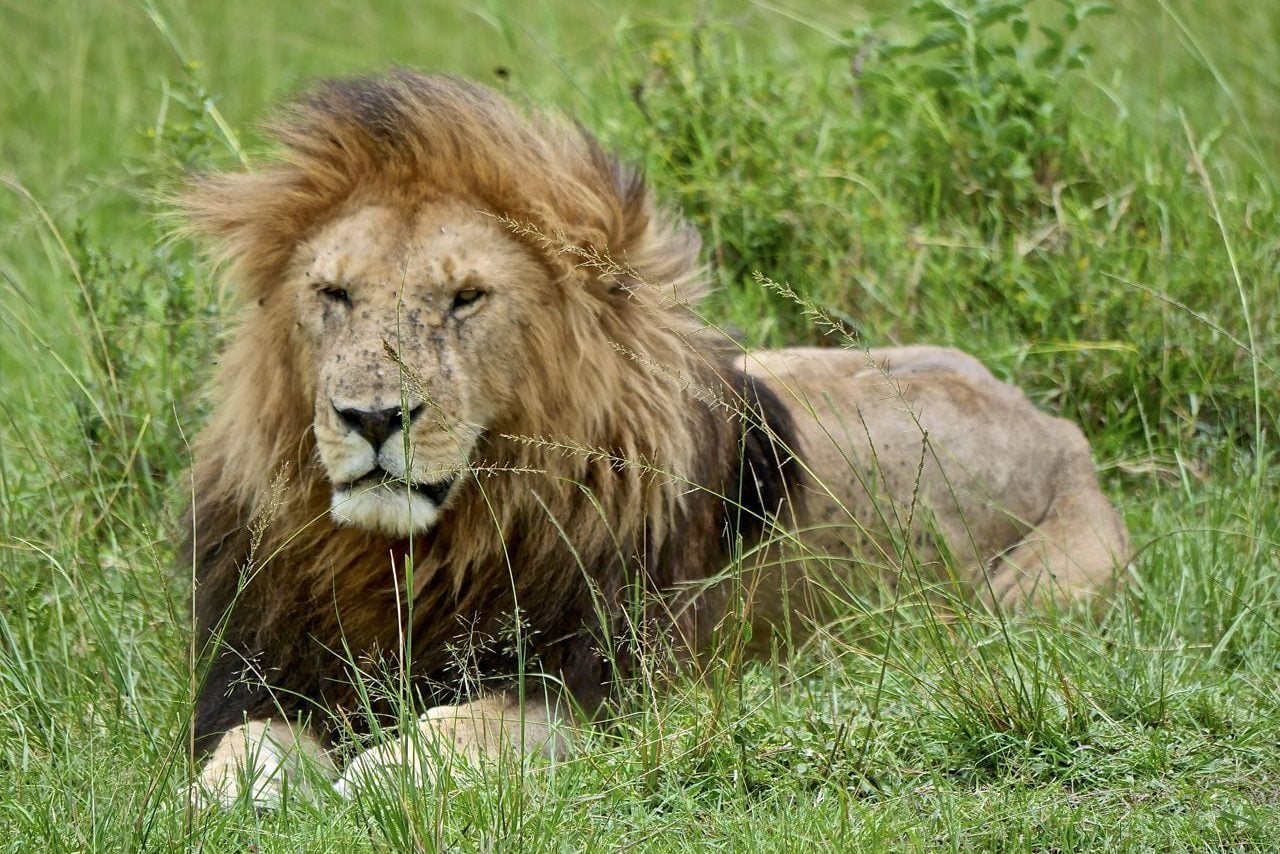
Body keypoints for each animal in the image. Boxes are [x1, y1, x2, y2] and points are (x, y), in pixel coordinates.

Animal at [179, 70, 1129, 807]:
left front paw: (379, 771)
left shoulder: (616, 694)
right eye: (334, 294)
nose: (373, 418)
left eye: (466, 298)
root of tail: (1055, 424)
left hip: (1041, 596)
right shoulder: (265, 668)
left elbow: (471, 728)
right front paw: (225, 795)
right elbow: (242, 746)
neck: (413, 553)